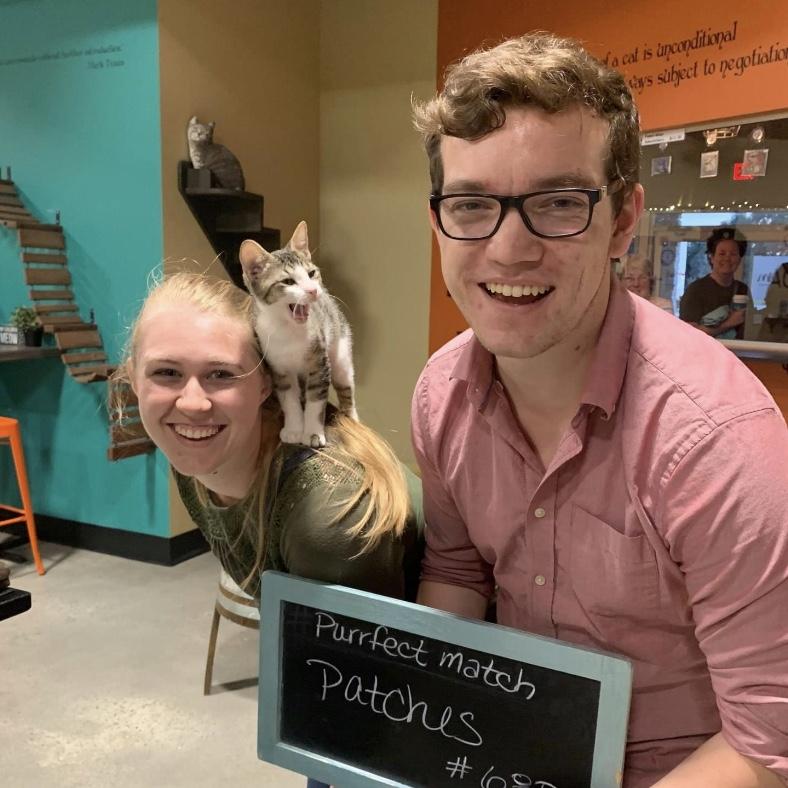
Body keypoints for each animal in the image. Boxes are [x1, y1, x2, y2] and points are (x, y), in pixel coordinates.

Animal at [239, 221, 357, 448]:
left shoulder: (319, 363)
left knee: (346, 386)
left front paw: (312, 433)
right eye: (287, 281)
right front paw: (294, 429)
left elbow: (316, 400)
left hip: (340, 352)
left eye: (311, 273)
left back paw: (351, 416)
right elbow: (289, 400)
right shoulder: (278, 368)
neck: (288, 331)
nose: (313, 290)